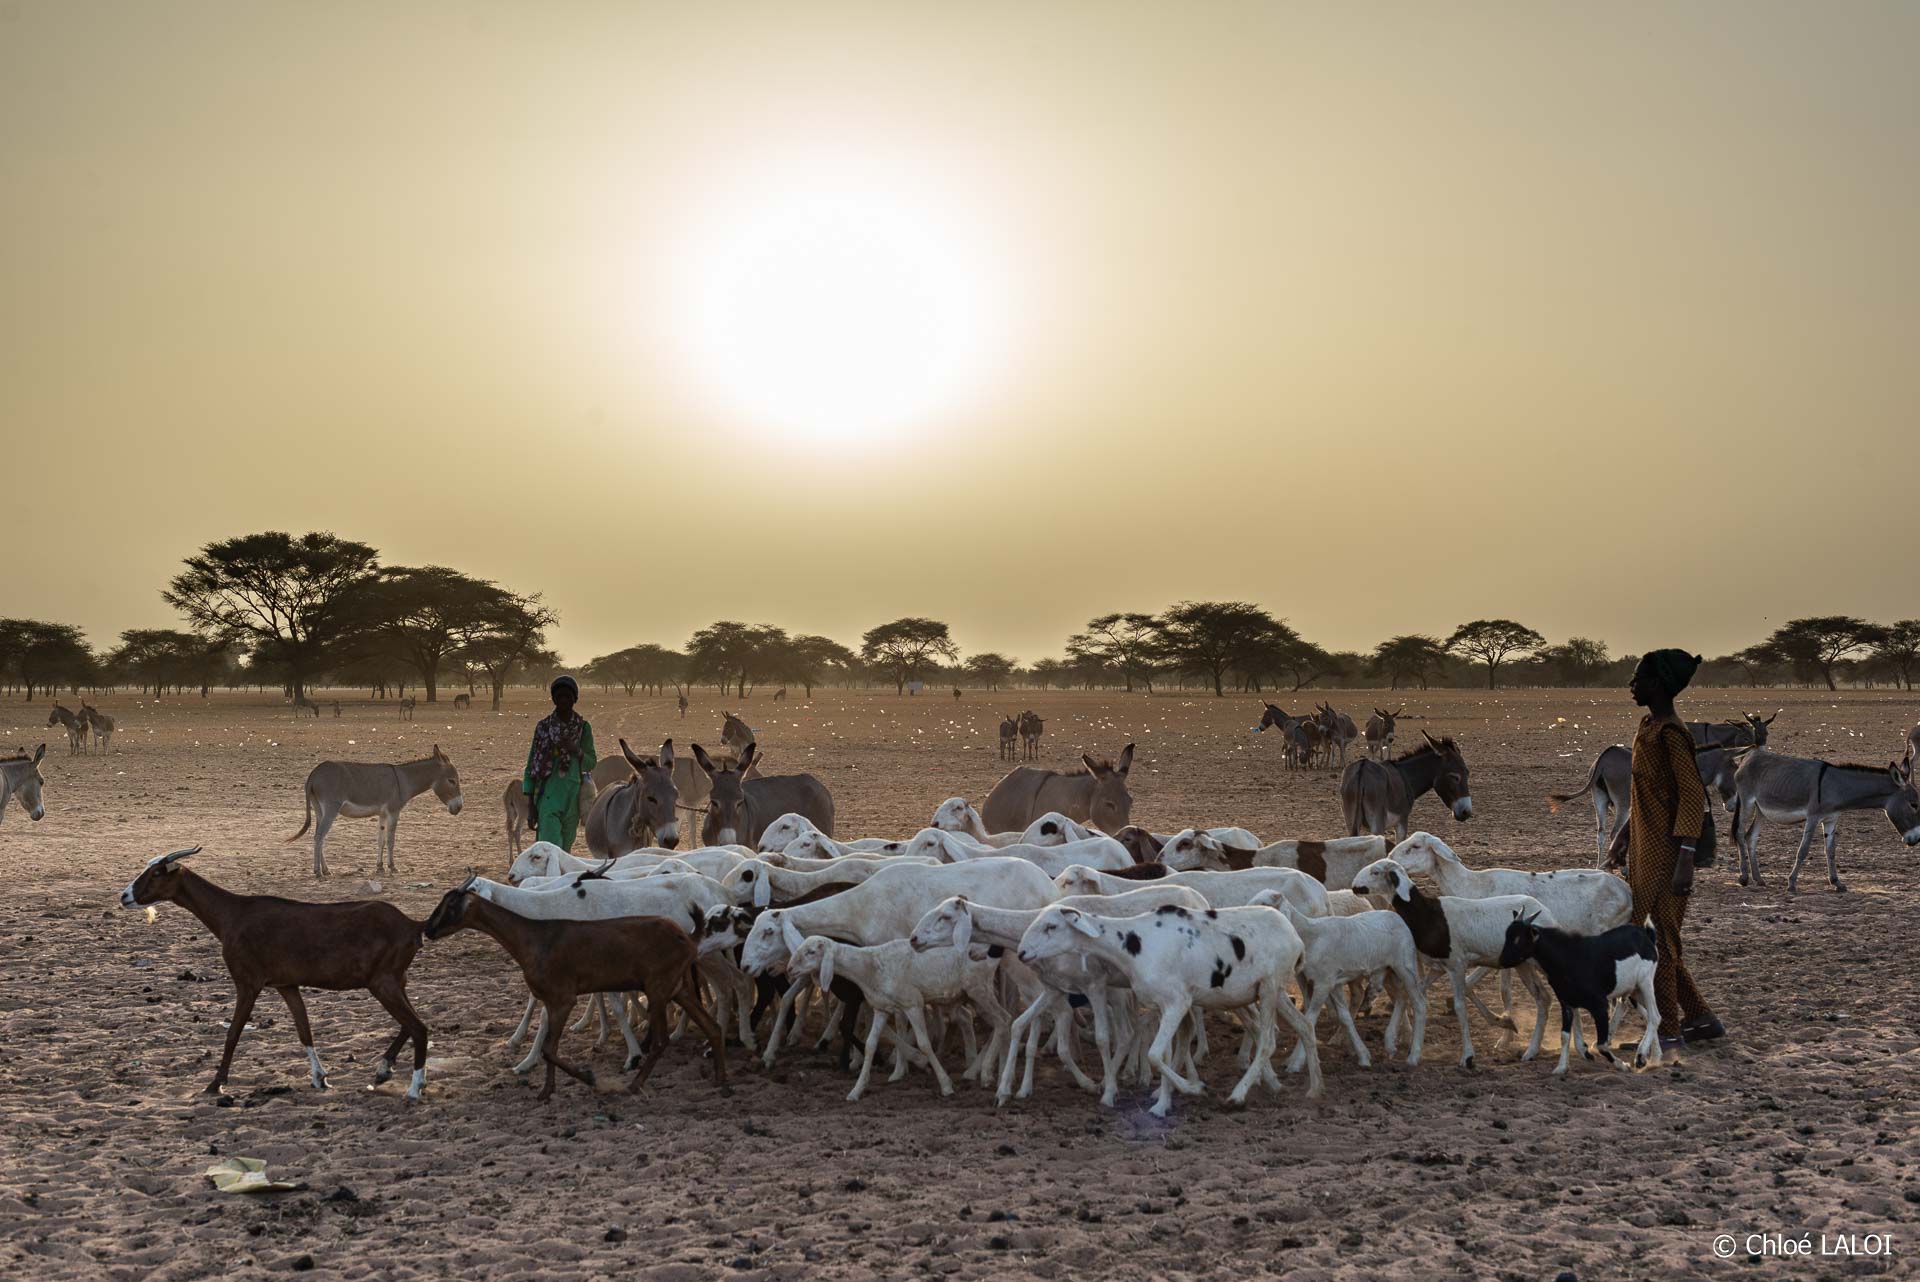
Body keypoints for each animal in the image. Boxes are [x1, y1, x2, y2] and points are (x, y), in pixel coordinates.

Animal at [123, 844, 432, 1097]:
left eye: (155, 873)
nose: (125, 896)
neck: (232, 915)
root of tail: (412, 925)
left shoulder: (248, 982)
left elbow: (233, 1033)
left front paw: (216, 1083)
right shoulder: (286, 985)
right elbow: (304, 1031)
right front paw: (320, 1077)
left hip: (383, 982)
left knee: (419, 1027)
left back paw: (413, 1088)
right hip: (396, 980)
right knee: (411, 1024)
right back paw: (384, 1069)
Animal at [787, 932, 1013, 1105]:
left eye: (811, 952)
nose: (789, 969)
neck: (869, 967)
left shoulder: (912, 1003)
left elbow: (924, 1043)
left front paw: (945, 1085)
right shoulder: (881, 1008)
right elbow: (870, 1045)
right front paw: (856, 1091)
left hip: (979, 988)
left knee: (1003, 1020)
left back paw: (987, 1074)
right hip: (970, 994)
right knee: (999, 1021)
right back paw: (996, 1075)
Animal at [1021, 902, 1320, 1113]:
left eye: (1051, 927)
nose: (1022, 952)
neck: (1134, 944)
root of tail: (1295, 937)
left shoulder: (1177, 1003)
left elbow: (1155, 1054)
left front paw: (1194, 1088)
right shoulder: (1164, 1004)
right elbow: (1167, 1052)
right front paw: (1162, 1104)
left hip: (1270, 987)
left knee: (1268, 1041)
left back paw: (1237, 1095)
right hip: (1275, 991)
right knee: (1305, 1026)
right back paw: (1314, 1088)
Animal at [1489, 917, 1658, 1074]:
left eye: (1518, 939)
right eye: (1507, 935)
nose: (1501, 960)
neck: (1569, 958)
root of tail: (1645, 934)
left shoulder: (1599, 1006)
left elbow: (1602, 1045)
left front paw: (1623, 1065)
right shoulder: (1567, 1003)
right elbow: (1564, 1035)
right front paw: (1561, 1067)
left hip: (1645, 983)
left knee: (1654, 1017)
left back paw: (1641, 1057)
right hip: (1634, 991)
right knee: (1642, 1013)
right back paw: (1653, 1058)